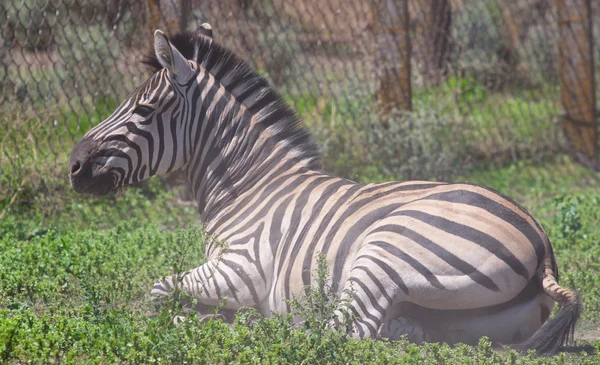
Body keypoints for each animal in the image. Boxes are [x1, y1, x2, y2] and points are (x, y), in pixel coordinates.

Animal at [67, 26, 580, 352]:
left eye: (143, 110)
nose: (73, 165)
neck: (248, 188)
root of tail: (542, 241)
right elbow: (166, 290)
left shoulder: (242, 268)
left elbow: (158, 290)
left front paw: (201, 315)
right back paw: (406, 329)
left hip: (386, 249)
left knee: (334, 332)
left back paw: (255, 324)